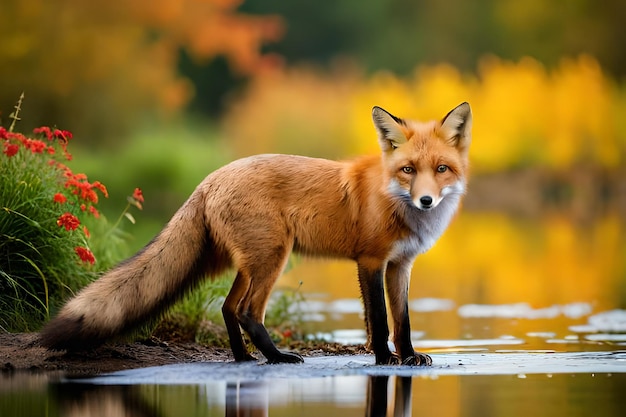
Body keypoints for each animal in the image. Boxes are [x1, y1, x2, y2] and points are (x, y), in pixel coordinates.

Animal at [40, 102, 468, 366]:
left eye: (441, 169)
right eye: (408, 170)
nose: (427, 201)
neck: (394, 199)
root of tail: (210, 177)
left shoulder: (400, 265)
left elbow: (403, 319)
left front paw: (409, 356)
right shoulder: (371, 261)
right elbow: (379, 319)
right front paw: (384, 359)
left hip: (246, 262)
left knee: (229, 308)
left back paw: (244, 358)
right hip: (271, 257)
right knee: (247, 310)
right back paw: (276, 358)